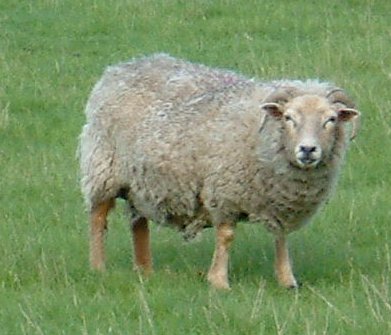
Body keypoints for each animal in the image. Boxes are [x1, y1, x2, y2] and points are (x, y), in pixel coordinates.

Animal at [79, 53, 362, 290]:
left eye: (331, 119)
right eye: (288, 118)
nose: (307, 150)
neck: (262, 137)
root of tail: (120, 68)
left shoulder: (278, 200)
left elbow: (280, 238)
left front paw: (287, 280)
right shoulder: (224, 192)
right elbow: (226, 236)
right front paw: (219, 281)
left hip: (143, 183)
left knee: (138, 223)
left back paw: (145, 270)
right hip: (104, 169)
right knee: (98, 218)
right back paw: (98, 267)